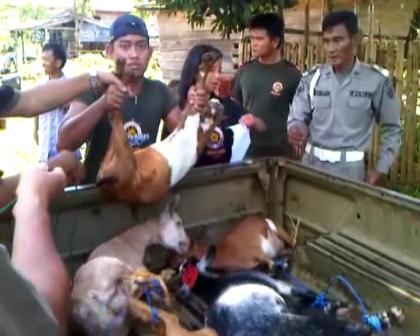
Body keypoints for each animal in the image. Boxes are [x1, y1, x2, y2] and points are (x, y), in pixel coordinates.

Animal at [98, 53, 223, 205]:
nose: (218, 103)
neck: (202, 130)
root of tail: (109, 183)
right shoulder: (187, 119)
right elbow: (198, 90)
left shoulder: (189, 121)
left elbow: (200, 84)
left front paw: (204, 67)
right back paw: (119, 72)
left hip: (124, 152)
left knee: (114, 114)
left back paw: (120, 70)